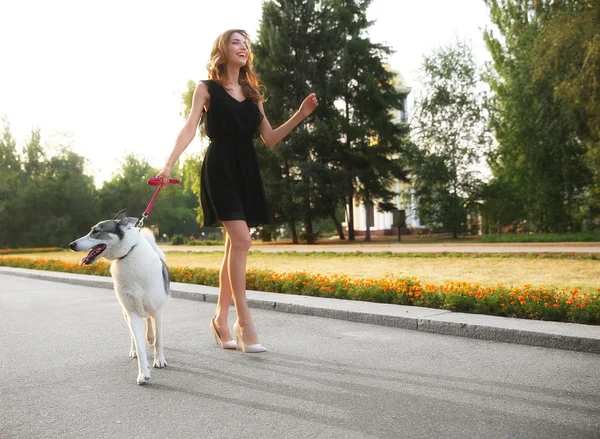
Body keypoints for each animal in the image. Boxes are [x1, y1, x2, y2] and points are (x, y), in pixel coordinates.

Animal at [69, 210, 170, 384]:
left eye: (95, 231)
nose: (71, 245)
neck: (127, 255)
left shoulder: (158, 310)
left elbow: (159, 340)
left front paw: (159, 360)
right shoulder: (132, 313)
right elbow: (139, 346)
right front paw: (143, 373)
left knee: (150, 324)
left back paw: (150, 338)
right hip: (126, 312)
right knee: (133, 334)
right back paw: (135, 349)